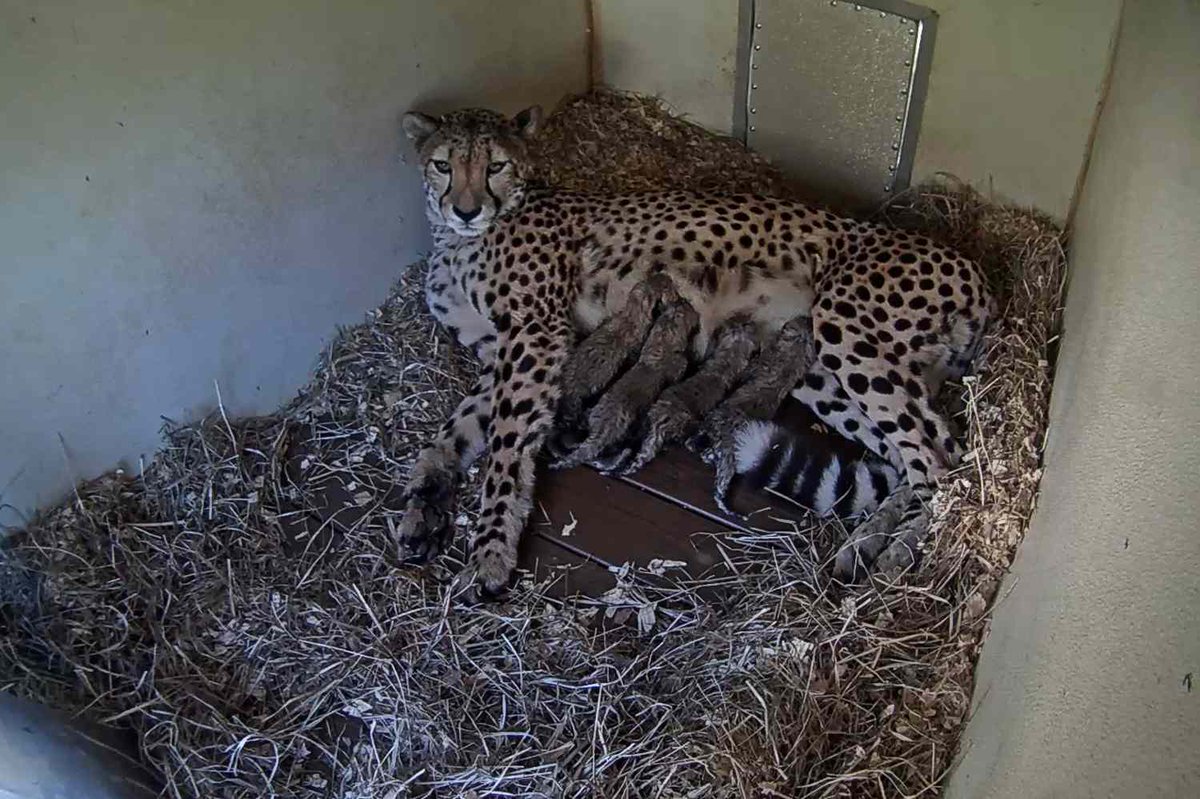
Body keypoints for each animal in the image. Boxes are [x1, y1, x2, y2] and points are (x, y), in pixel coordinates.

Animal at [396, 104, 992, 597]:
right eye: (443, 166)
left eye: (496, 165)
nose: (467, 210)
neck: (459, 241)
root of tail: (973, 270)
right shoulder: (500, 352)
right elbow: (453, 433)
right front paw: (423, 502)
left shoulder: (534, 335)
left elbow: (505, 446)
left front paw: (490, 552)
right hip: (823, 370)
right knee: (912, 458)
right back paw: (864, 543)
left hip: (848, 332)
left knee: (940, 459)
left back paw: (892, 553)